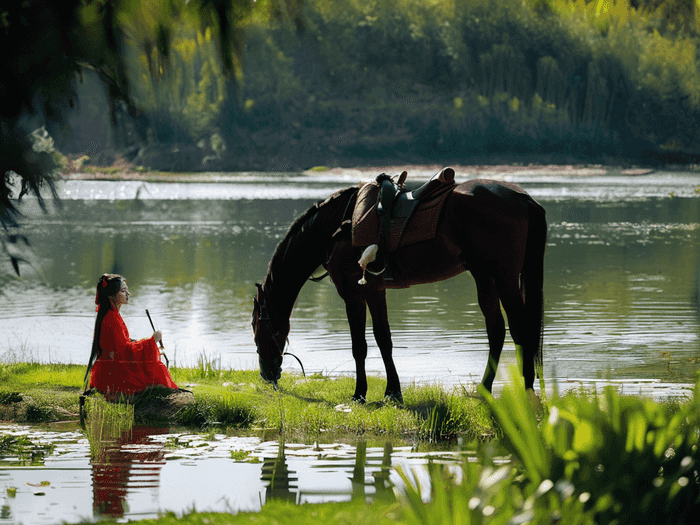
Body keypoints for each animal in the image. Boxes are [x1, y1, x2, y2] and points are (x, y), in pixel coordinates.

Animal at [252, 168, 548, 402]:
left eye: (256, 330)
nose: (267, 375)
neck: (337, 225)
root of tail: (523, 198)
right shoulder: (374, 291)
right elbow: (384, 340)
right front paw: (393, 391)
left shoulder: (352, 294)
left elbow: (359, 346)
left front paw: (359, 394)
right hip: (484, 275)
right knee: (496, 329)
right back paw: (484, 388)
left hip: (504, 277)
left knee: (520, 329)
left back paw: (526, 390)